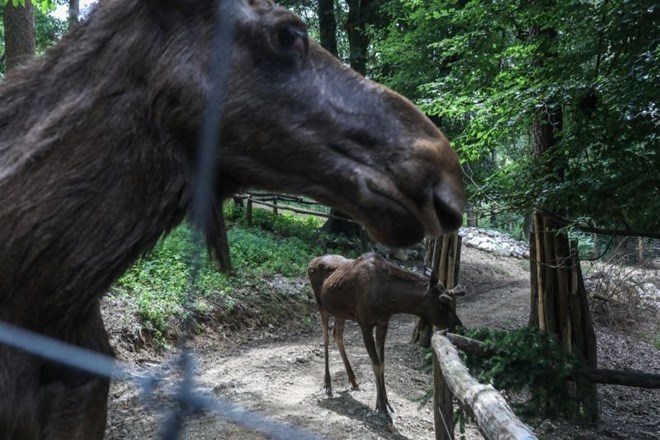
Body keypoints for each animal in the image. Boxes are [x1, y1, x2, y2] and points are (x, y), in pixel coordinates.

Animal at [310, 254, 464, 422]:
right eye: (443, 305)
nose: (458, 325)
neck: (390, 302)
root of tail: (311, 262)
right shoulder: (365, 323)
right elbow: (376, 364)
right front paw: (381, 406)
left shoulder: (383, 324)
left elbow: (382, 363)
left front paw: (387, 403)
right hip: (321, 305)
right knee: (325, 336)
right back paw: (328, 383)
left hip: (340, 312)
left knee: (337, 334)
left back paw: (353, 380)